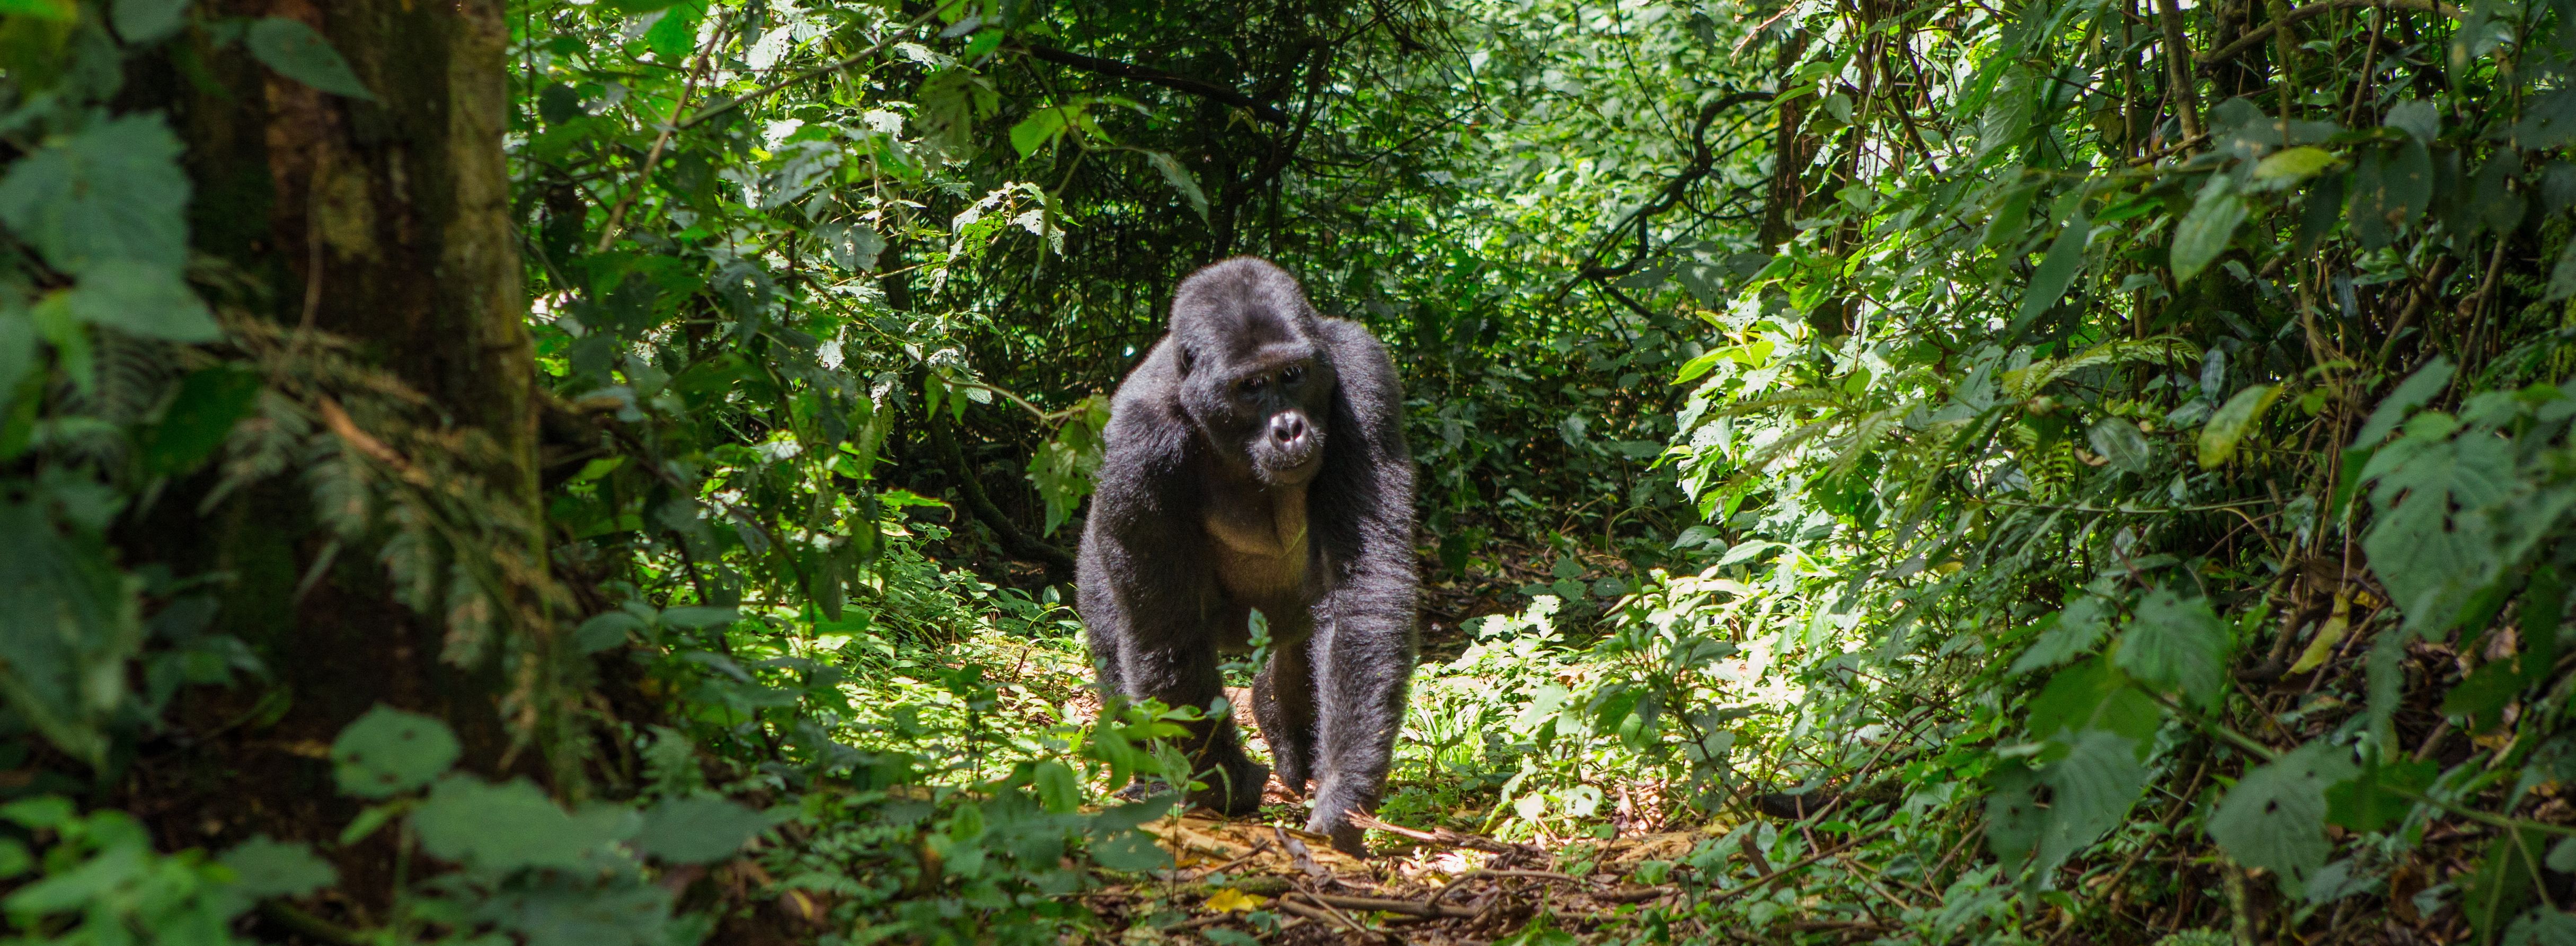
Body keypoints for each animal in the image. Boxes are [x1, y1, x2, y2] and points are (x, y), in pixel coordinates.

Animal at [1077, 257, 1418, 855]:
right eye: (1250, 387)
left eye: (1292, 376)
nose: (1290, 429)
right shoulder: (1137, 443)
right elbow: (1167, 630)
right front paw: (1223, 786)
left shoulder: (1363, 375)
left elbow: (1362, 588)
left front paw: (1344, 791)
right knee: (1118, 640)